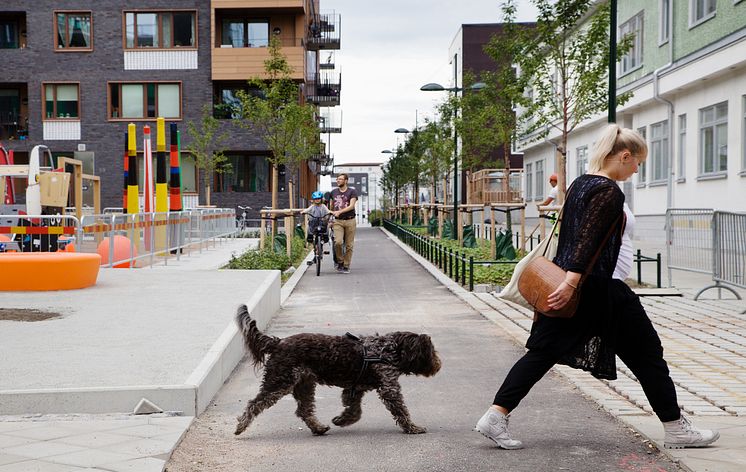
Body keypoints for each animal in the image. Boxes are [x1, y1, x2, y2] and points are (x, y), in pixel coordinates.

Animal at [235, 304, 438, 436]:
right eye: (432, 351)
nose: (438, 363)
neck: (387, 349)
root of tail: (278, 342)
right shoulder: (389, 389)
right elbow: (401, 411)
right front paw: (413, 428)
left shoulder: (354, 389)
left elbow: (355, 411)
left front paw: (342, 420)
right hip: (279, 382)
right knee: (254, 403)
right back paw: (241, 426)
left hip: (304, 385)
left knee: (304, 410)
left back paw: (318, 428)